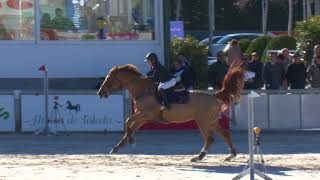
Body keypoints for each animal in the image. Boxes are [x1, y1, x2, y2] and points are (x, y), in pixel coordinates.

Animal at [96, 63, 244, 162]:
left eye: (108, 78)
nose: (100, 93)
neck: (143, 91)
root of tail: (213, 96)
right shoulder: (143, 118)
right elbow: (130, 127)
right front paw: (119, 146)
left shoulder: (145, 114)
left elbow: (128, 122)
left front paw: (131, 141)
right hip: (211, 121)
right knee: (225, 134)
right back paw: (230, 155)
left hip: (203, 121)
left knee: (210, 138)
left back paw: (199, 157)